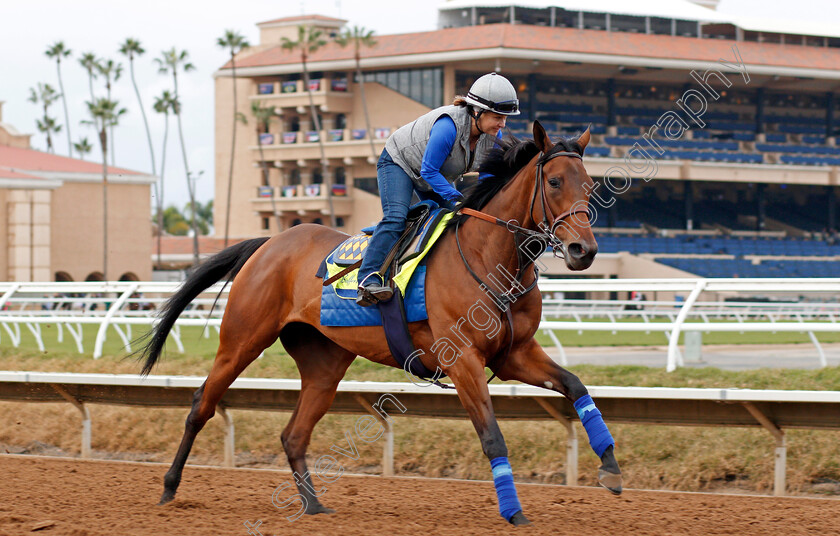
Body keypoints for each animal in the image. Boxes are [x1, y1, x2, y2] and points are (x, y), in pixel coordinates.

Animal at [138, 120, 620, 524]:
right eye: (554, 182)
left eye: (590, 184)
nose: (584, 251)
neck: (490, 255)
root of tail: (270, 242)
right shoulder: (463, 359)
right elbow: (492, 436)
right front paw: (514, 512)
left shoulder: (514, 354)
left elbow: (576, 386)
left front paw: (611, 467)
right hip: (242, 340)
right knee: (201, 404)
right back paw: (168, 488)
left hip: (324, 364)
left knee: (294, 434)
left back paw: (313, 505)